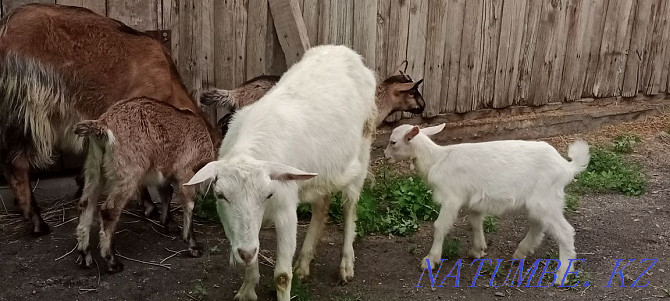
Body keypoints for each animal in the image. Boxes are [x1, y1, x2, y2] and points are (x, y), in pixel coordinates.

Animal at [0, 4, 222, 234]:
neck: (166, 81)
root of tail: (5, 28)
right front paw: (161, 215)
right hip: (27, 107)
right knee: (15, 162)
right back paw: (37, 220)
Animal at [74, 96, 217, 272]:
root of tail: (103, 125)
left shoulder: (164, 173)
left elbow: (166, 193)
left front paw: (168, 223)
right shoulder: (185, 173)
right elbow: (188, 205)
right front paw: (193, 246)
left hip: (94, 168)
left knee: (85, 204)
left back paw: (85, 255)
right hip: (128, 172)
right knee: (109, 210)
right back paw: (112, 261)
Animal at [186, 45, 380, 300]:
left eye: (268, 194)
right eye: (221, 195)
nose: (245, 252)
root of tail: (346, 51)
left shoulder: (286, 209)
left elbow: (281, 276)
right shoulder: (232, 222)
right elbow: (250, 258)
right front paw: (247, 289)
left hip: (362, 151)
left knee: (350, 206)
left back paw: (346, 266)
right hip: (320, 172)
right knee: (322, 205)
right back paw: (304, 264)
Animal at [386, 123, 592, 284]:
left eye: (393, 142)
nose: (385, 155)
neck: (437, 160)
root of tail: (566, 167)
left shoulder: (452, 196)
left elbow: (440, 226)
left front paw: (430, 260)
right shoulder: (473, 200)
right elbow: (475, 223)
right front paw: (478, 250)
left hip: (544, 199)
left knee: (565, 231)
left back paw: (561, 275)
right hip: (540, 201)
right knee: (538, 225)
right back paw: (520, 253)